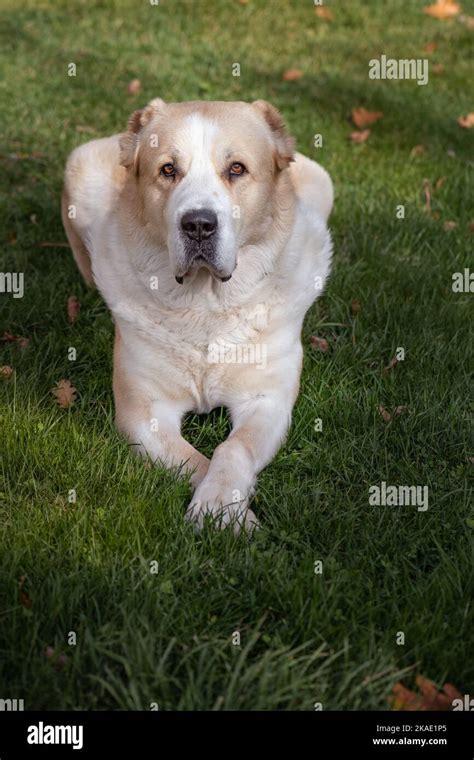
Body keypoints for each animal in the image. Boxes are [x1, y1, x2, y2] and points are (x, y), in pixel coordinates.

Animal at [61, 98, 332, 532]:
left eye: (236, 168)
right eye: (168, 170)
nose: (199, 225)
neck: (206, 305)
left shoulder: (268, 400)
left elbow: (233, 449)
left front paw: (222, 505)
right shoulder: (144, 412)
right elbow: (194, 461)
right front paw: (229, 512)